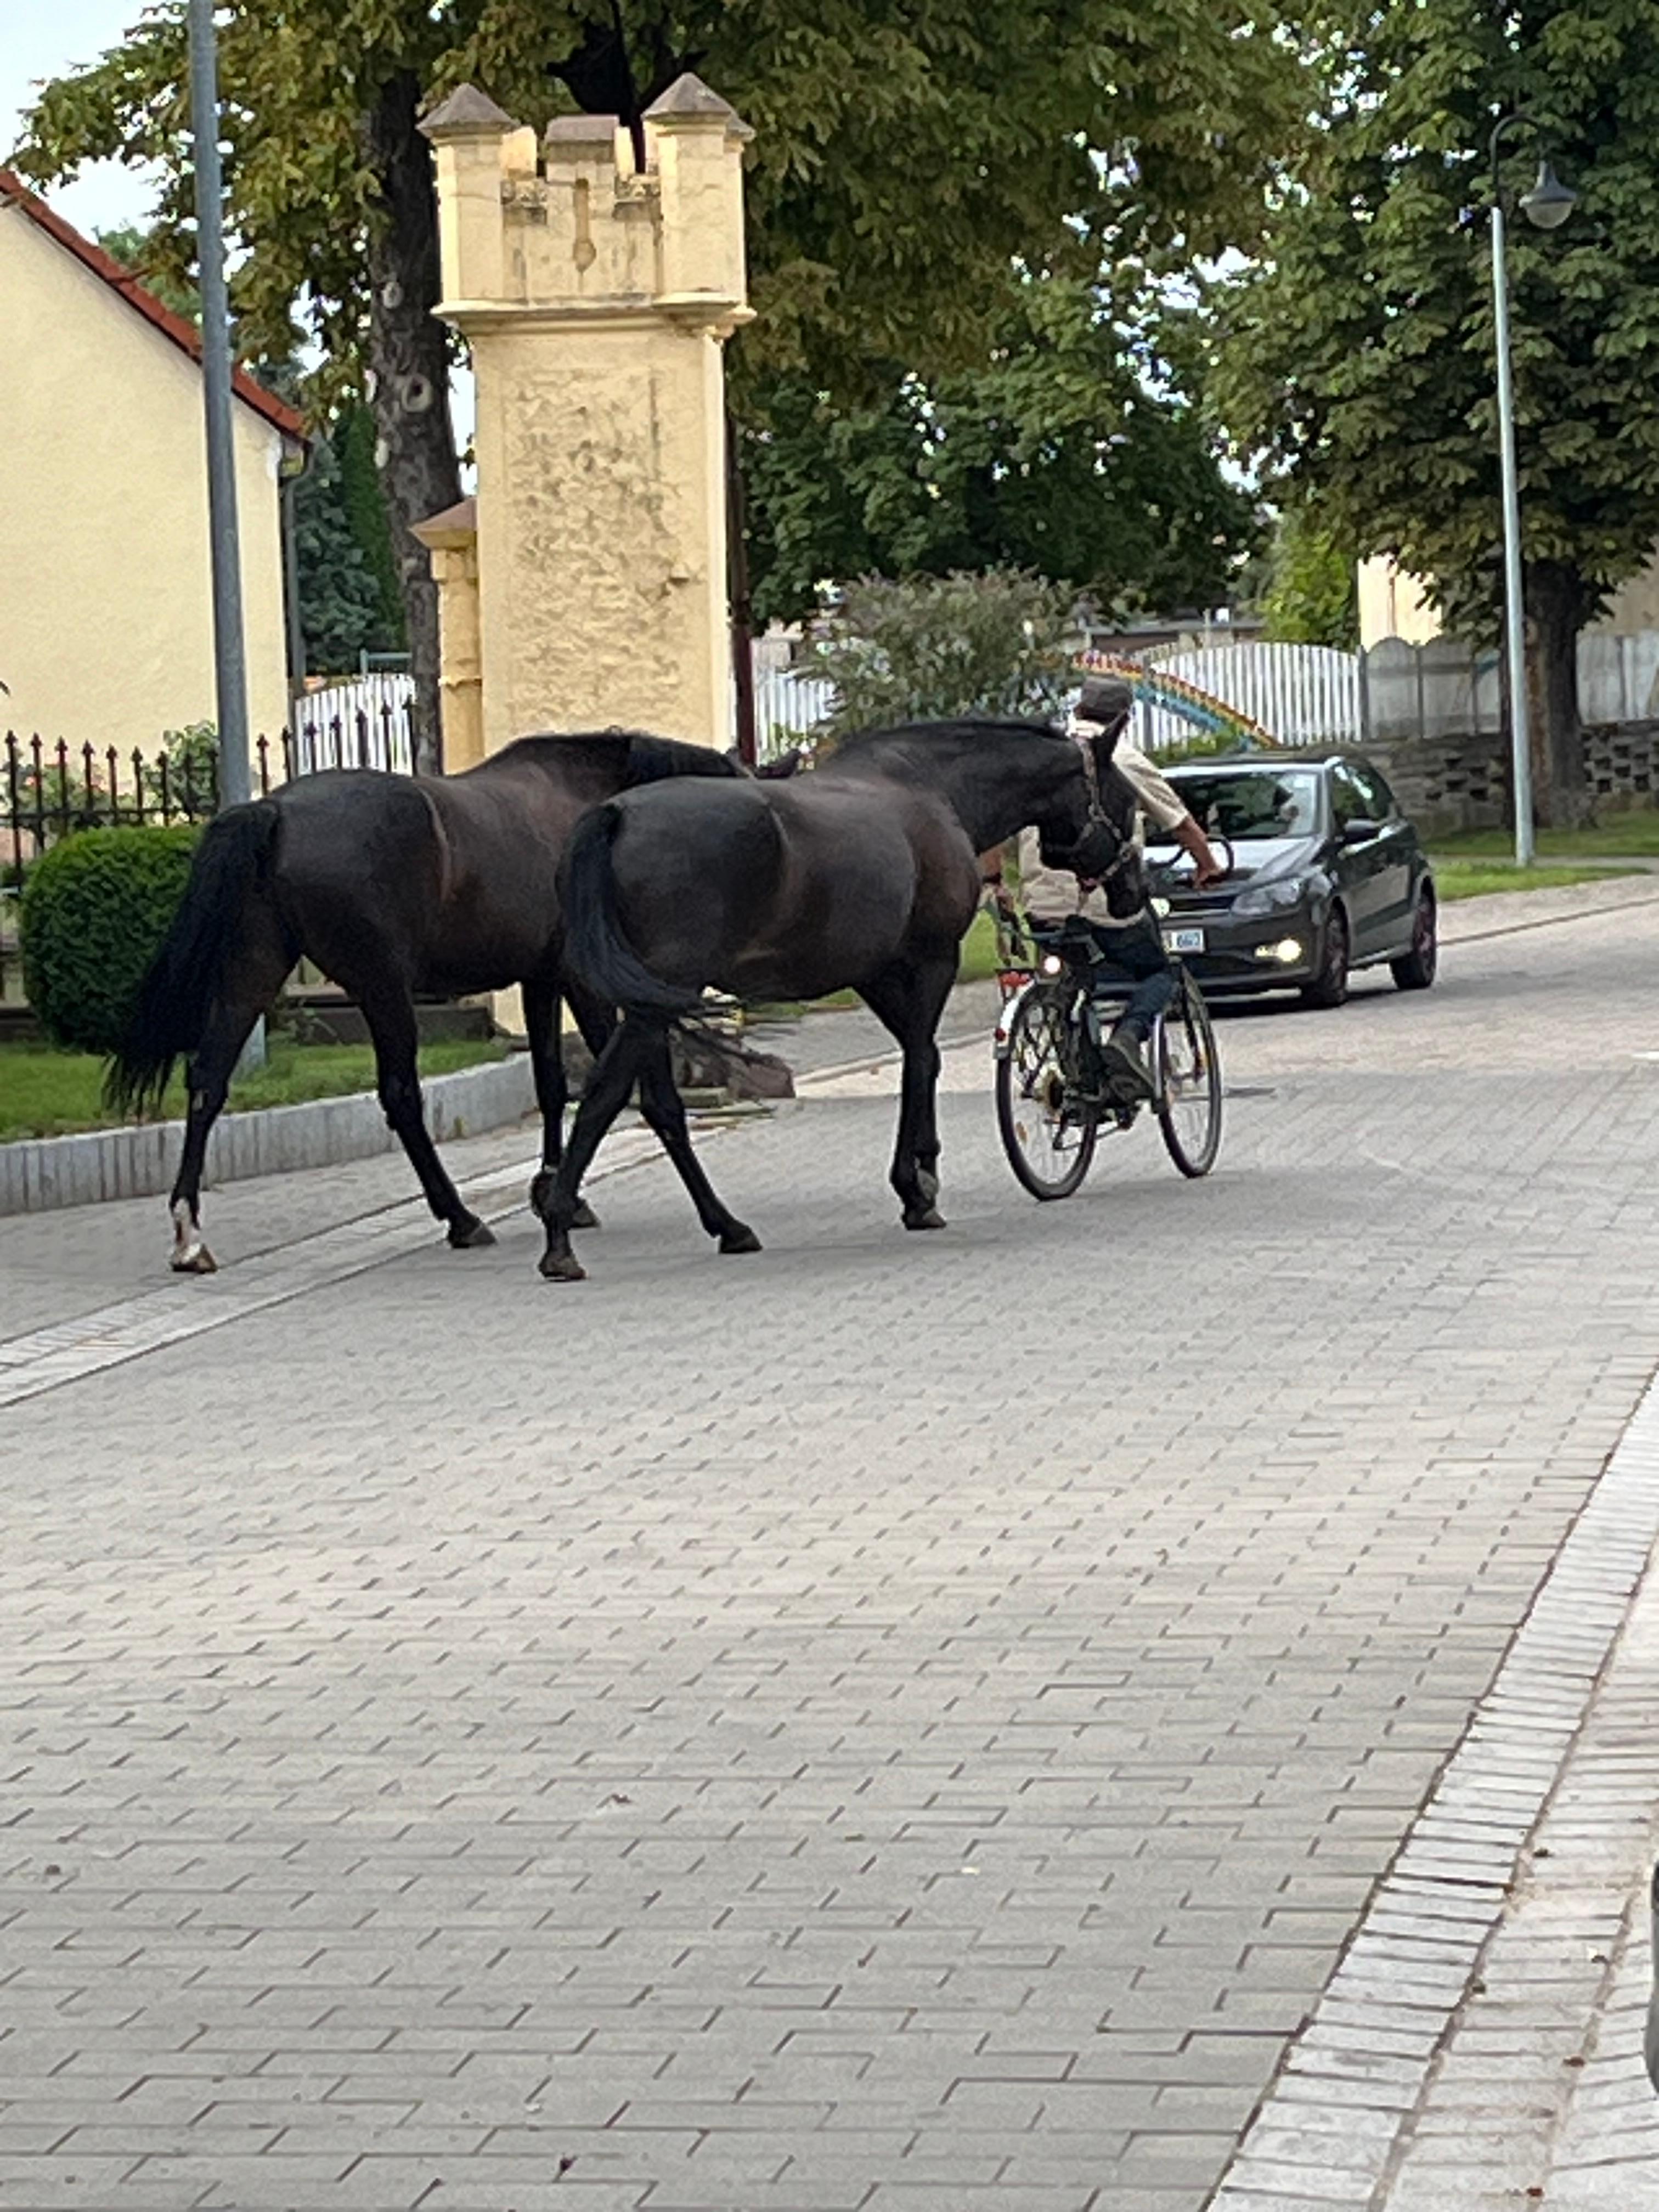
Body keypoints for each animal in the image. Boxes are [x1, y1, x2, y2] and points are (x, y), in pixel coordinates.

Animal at [109, 730, 738, 1274]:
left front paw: (557, 1191)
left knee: (208, 1081)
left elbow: (552, 1083)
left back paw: (190, 1235)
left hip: (253, 973)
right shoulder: (582, 984)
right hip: (383, 987)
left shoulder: (539, 979)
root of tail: (276, 812)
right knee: (401, 1096)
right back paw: (460, 1217)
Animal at [541, 716, 1132, 1291]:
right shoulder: (932, 960)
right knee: (604, 1096)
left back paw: (726, 1226)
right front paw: (918, 1189)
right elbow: (922, 1061)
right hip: (654, 1004)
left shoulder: (874, 974)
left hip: (648, 1006)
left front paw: (920, 1177)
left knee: (661, 1108)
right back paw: (560, 1237)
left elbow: (921, 1056)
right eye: (1124, 799)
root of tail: (616, 814)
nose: (1131, 889)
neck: (932, 788)